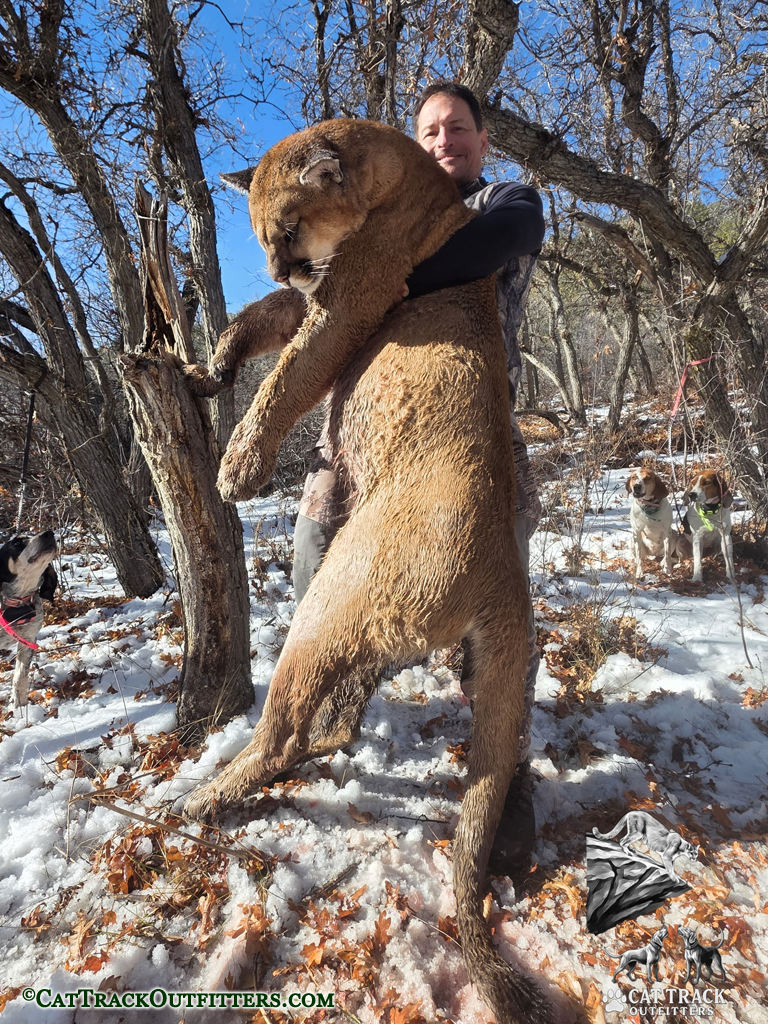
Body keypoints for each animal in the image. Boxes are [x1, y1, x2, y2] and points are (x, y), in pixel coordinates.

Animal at [184, 119, 552, 1024]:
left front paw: (237, 469)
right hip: (355, 609)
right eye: (259, 236)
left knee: (280, 734)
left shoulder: (351, 297)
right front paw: (209, 370)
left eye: (285, 230)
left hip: (333, 600)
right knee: (334, 717)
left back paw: (201, 799)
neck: (402, 172)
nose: (280, 265)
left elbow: (286, 379)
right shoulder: (315, 298)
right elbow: (252, 324)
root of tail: (505, 570)